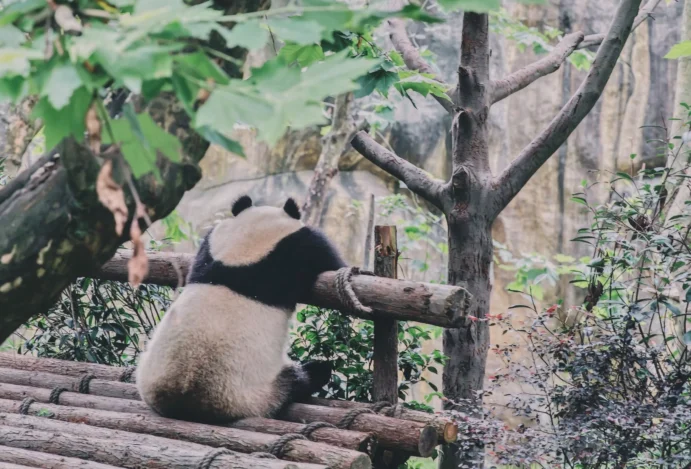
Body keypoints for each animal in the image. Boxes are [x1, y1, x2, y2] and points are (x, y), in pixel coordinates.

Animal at [136, 195, 346, 423]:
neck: (245, 247)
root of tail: (182, 402)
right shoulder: (300, 247)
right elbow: (330, 260)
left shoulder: (211, 245)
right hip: (253, 393)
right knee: (297, 380)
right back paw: (316, 372)